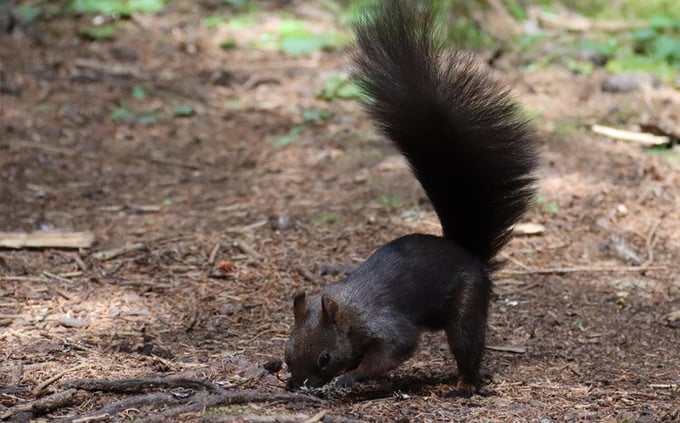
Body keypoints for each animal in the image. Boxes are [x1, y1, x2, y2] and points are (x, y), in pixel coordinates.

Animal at [284, 0, 540, 398]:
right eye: (286, 353)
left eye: (324, 358)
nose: (298, 386)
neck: (349, 312)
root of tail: (469, 255)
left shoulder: (385, 325)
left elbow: (396, 348)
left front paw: (351, 377)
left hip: (467, 303)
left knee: (467, 342)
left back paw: (464, 385)